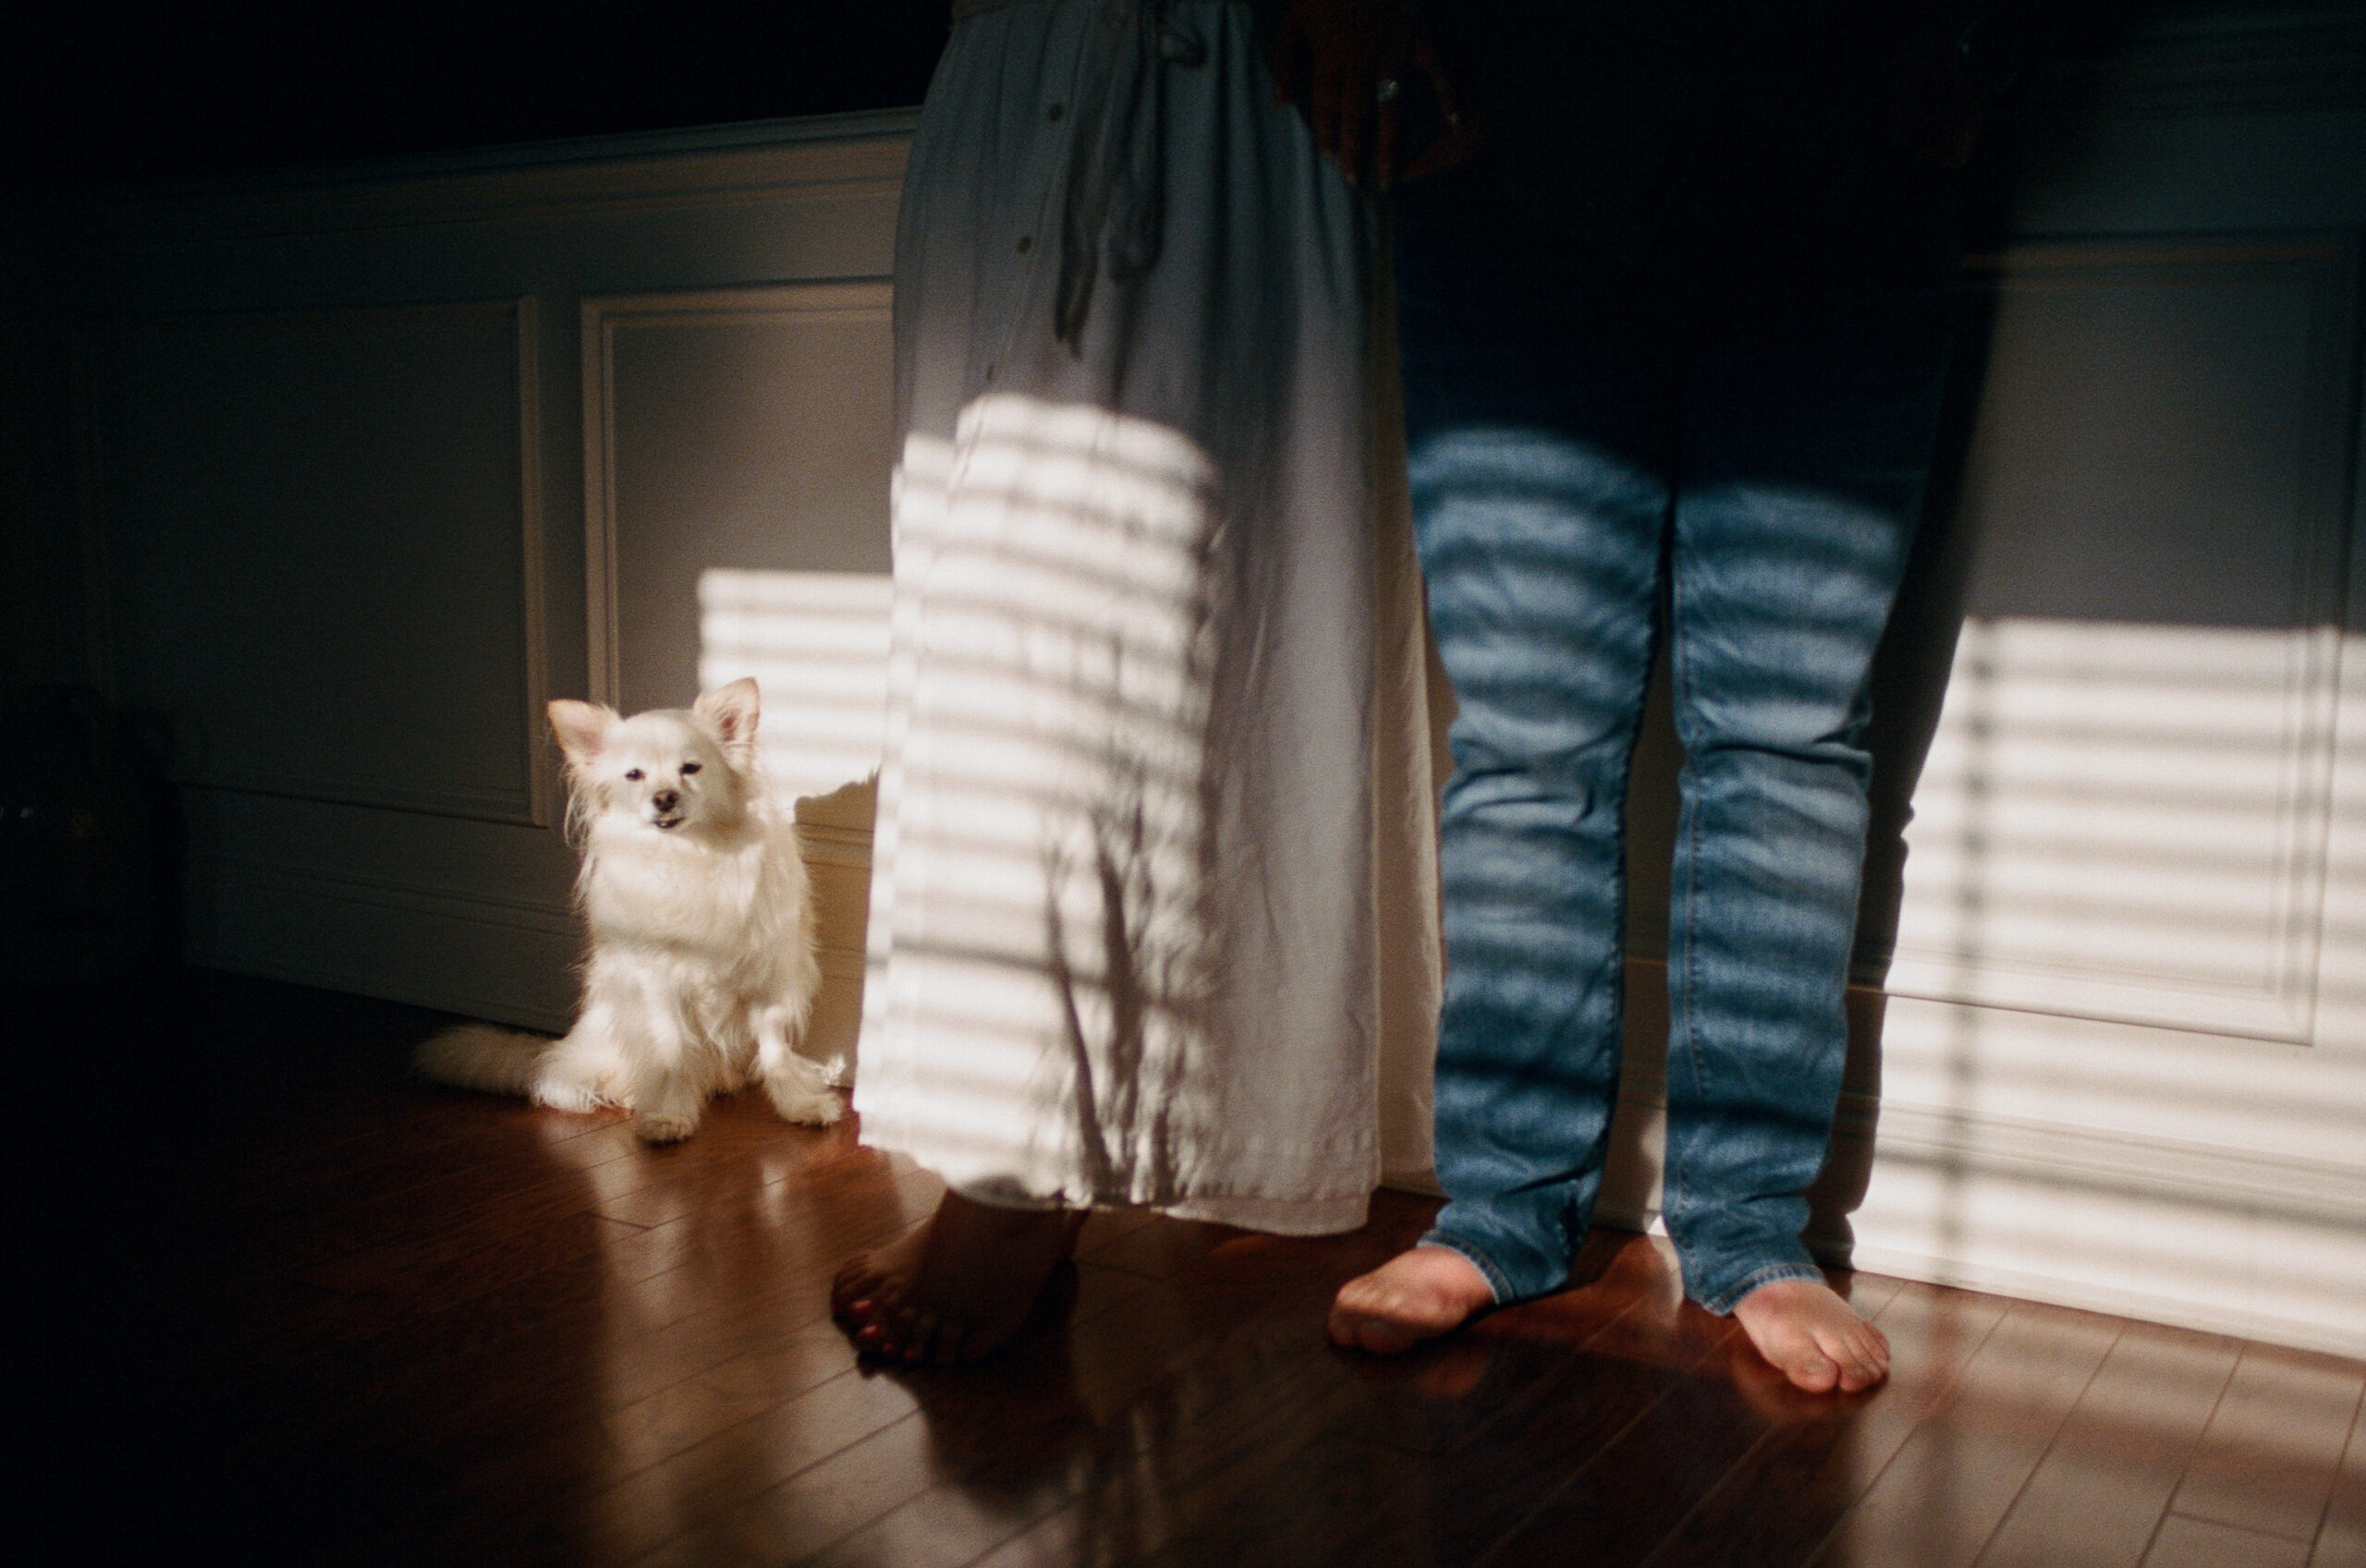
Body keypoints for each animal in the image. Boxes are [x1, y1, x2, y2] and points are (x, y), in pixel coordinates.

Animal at [416, 676, 842, 1139]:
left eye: (691, 769)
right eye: (634, 775)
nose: (664, 797)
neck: (690, 853)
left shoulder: (767, 982)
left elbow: (776, 1050)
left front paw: (800, 1103)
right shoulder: (659, 984)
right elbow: (673, 1051)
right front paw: (669, 1115)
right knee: (571, 1080)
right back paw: (635, 1095)